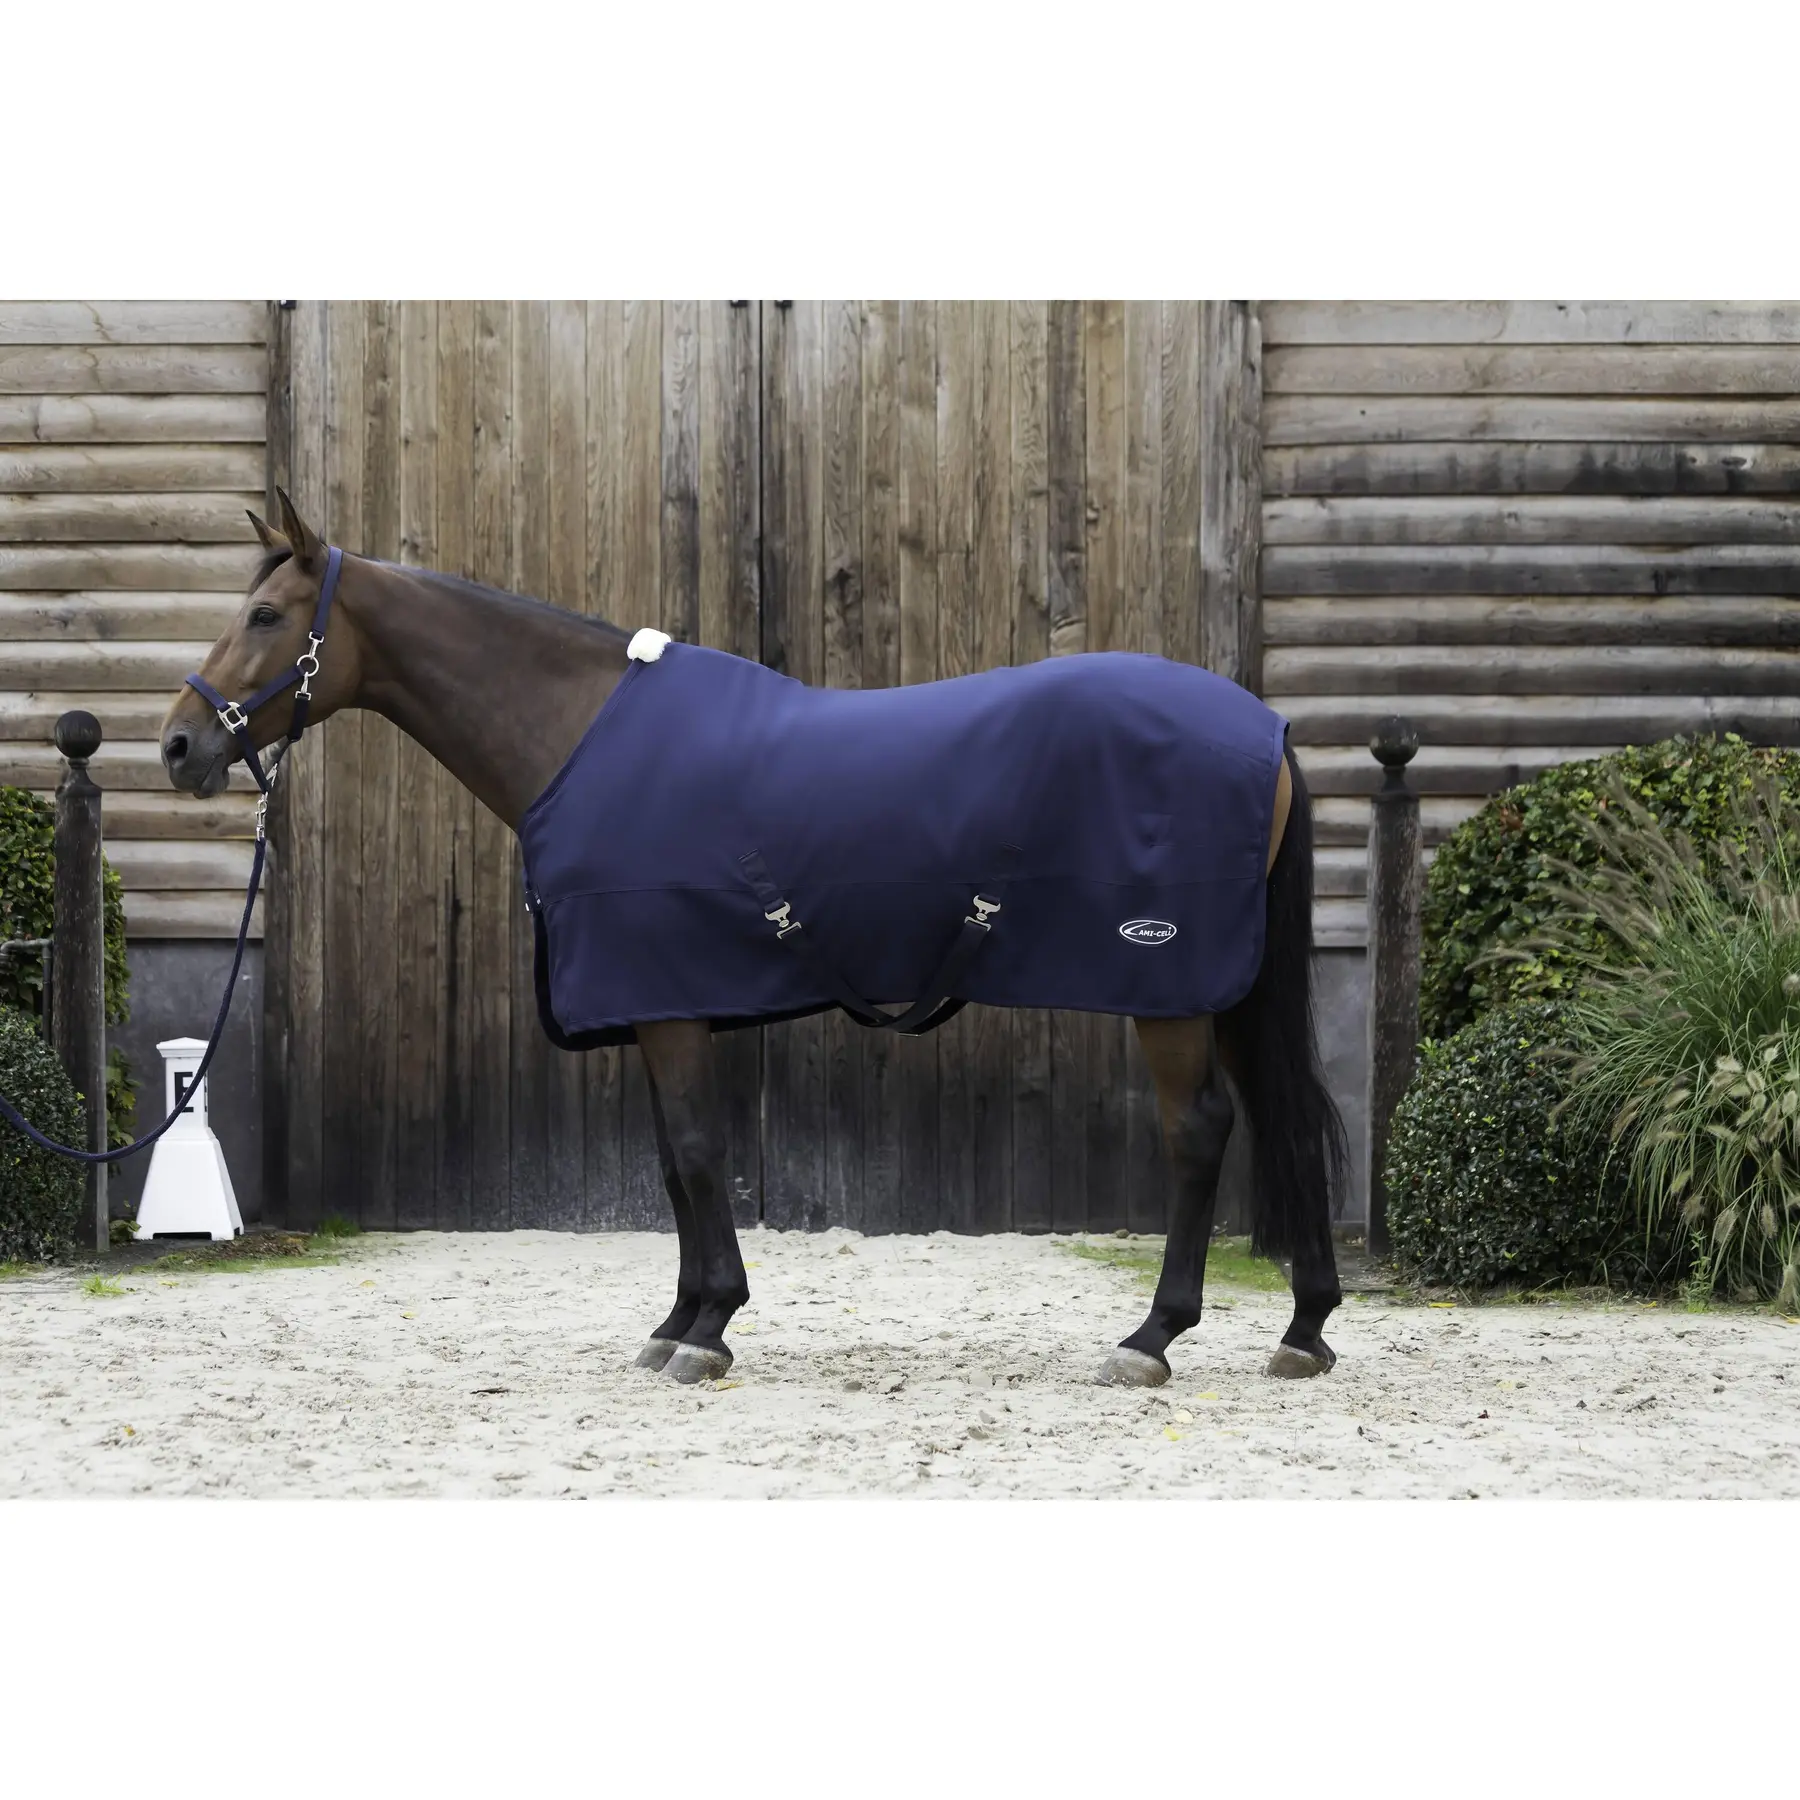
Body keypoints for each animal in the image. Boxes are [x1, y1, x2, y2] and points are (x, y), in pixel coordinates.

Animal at [160, 488, 1347, 1389]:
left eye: (265, 615)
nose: (177, 745)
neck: (578, 738)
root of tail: (1264, 727)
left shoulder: (669, 1005)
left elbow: (694, 1152)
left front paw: (709, 1329)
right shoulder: (658, 1006)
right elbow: (674, 1162)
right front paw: (678, 1322)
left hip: (1172, 989)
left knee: (1199, 1130)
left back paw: (1152, 1338)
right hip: (1222, 989)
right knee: (1276, 1120)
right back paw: (1305, 1327)